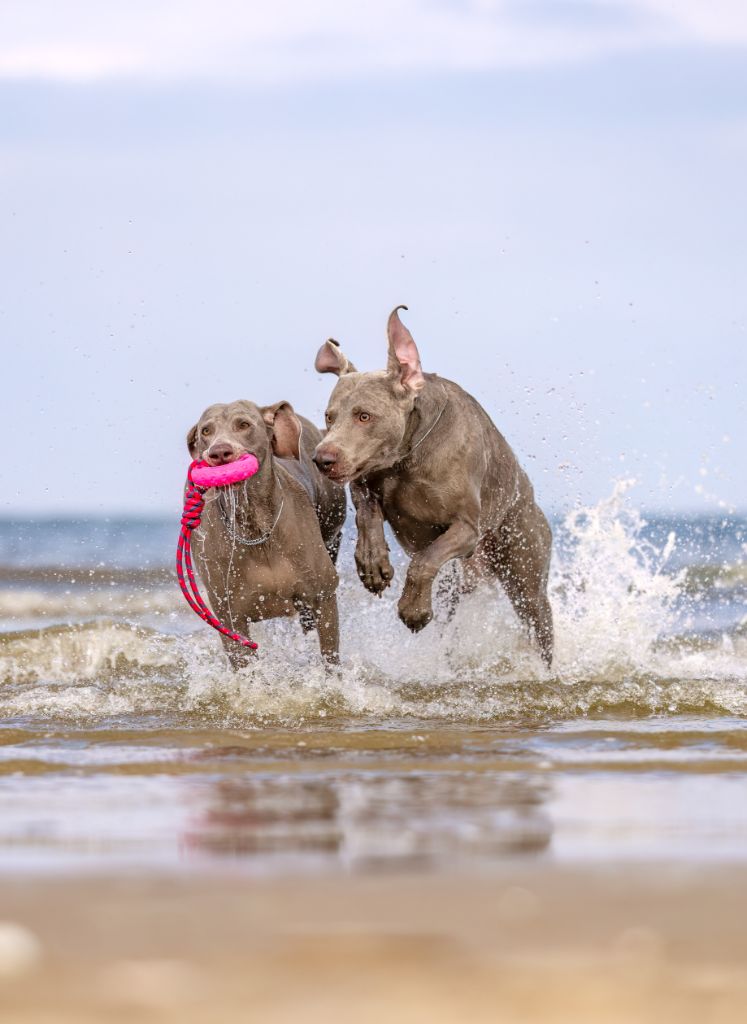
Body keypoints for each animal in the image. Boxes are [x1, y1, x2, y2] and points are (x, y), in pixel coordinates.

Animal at [185, 399, 344, 671]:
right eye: (206, 431)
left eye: (244, 424)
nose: (219, 452)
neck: (254, 526)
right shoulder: (228, 613)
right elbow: (242, 659)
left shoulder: (323, 595)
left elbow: (330, 657)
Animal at [311, 303, 549, 667]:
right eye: (329, 416)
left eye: (364, 416)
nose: (322, 458)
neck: (408, 458)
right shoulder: (365, 480)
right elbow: (366, 512)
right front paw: (373, 564)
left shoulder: (466, 528)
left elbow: (425, 561)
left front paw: (413, 610)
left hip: (526, 575)